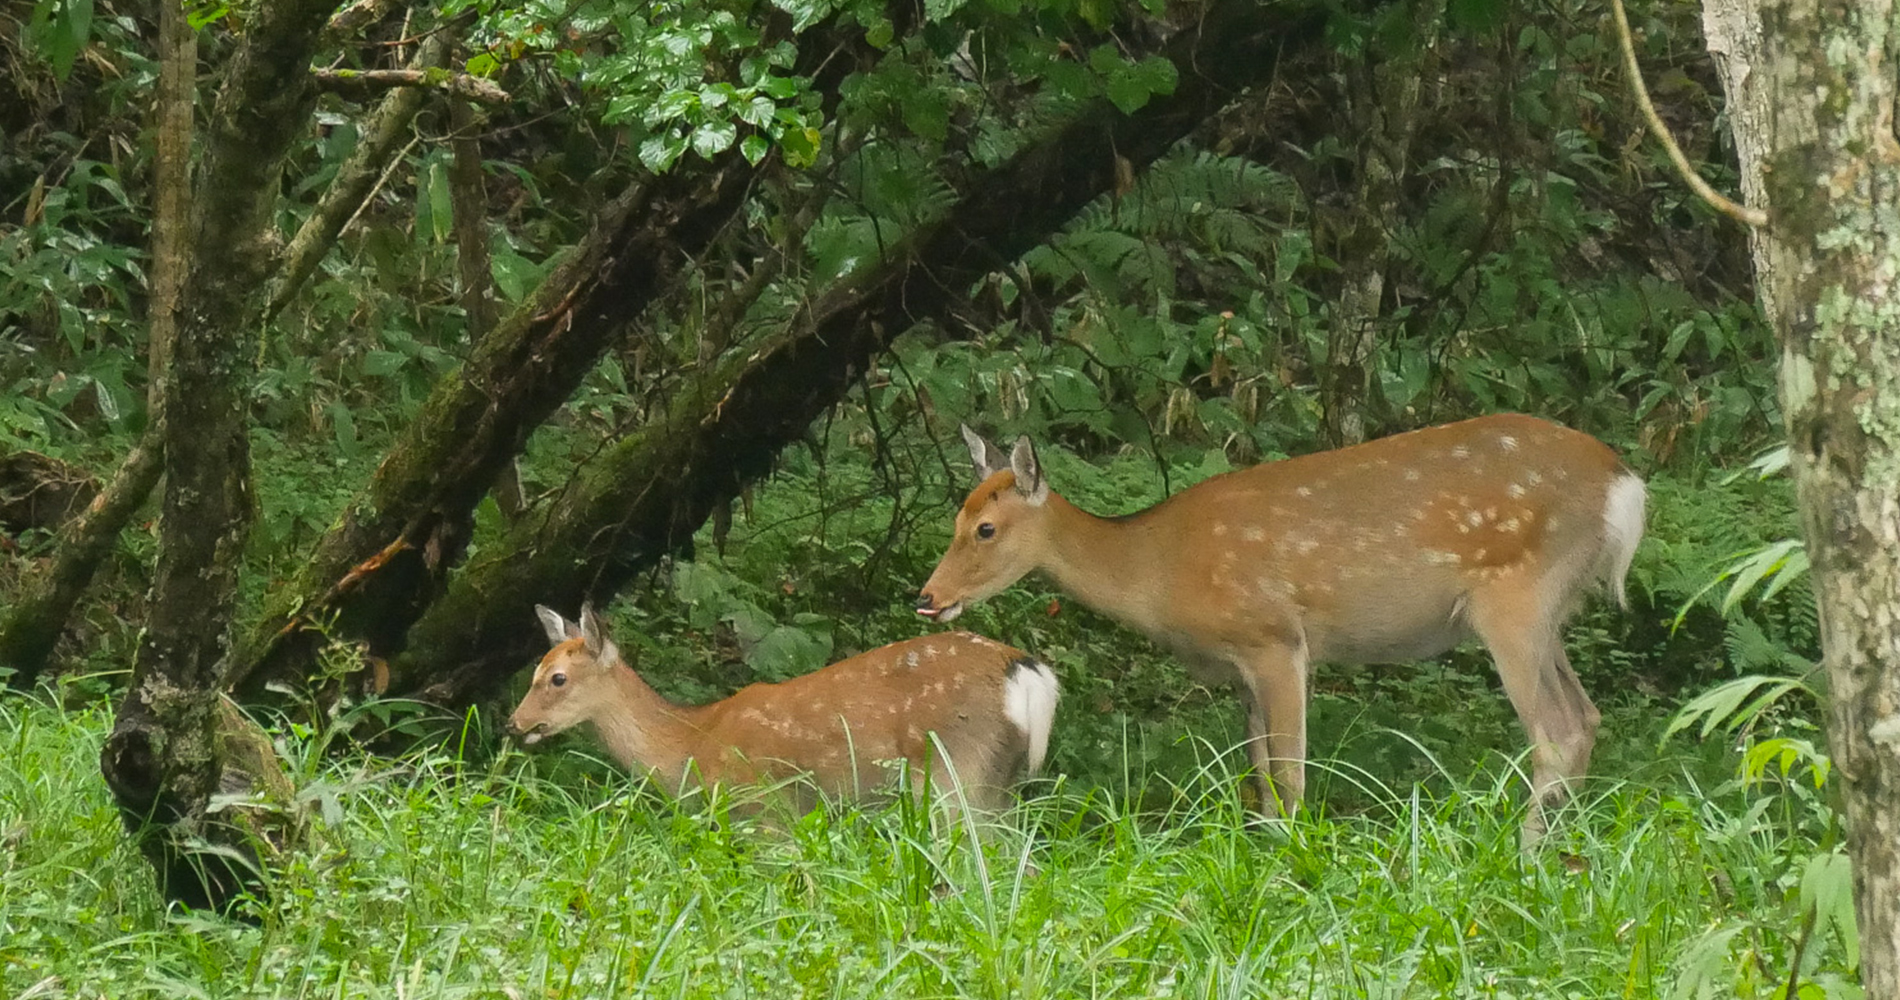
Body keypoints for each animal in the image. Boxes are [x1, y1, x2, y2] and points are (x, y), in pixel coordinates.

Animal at [513, 608, 1064, 821]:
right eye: (534, 668)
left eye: (557, 678)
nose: (514, 724)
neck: (691, 744)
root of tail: (1025, 672)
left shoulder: (764, 806)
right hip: (998, 782)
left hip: (954, 771)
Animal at [919, 416, 1649, 847]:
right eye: (954, 517)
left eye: (986, 529)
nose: (928, 599)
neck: (1160, 570)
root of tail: (1627, 487)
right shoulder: (1241, 667)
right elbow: (1259, 775)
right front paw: (1261, 849)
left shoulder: (1276, 636)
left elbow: (1291, 772)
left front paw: (1292, 863)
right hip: (1550, 608)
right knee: (1586, 716)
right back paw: (1568, 846)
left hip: (1515, 598)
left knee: (1554, 729)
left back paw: (1525, 852)